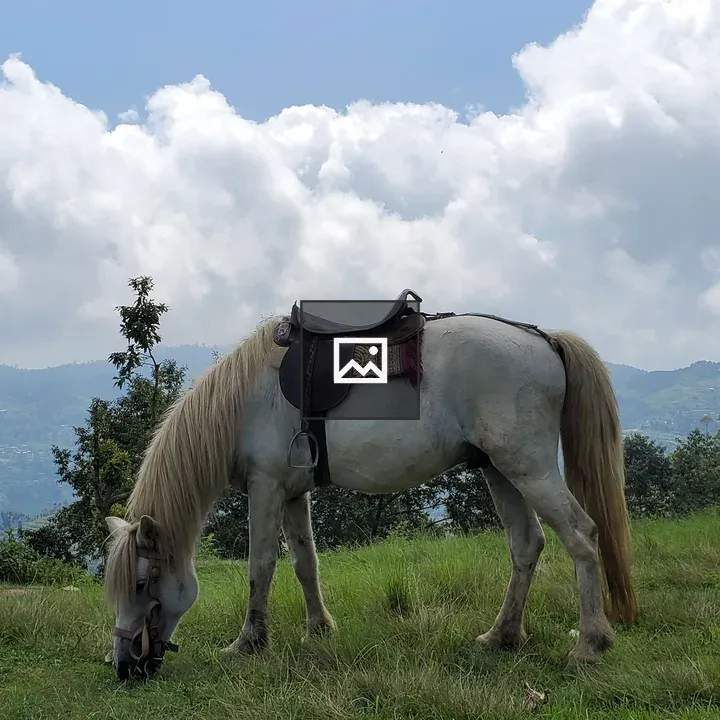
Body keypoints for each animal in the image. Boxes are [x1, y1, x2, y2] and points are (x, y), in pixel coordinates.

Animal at [103, 310, 638, 681]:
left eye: (141, 583)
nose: (124, 665)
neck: (246, 399)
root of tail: (542, 338)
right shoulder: (292, 493)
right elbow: (305, 563)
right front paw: (319, 628)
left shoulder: (266, 487)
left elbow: (261, 566)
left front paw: (249, 643)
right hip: (501, 470)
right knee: (527, 544)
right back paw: (501, 636)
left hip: (529, 467)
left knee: (582, 536)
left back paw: (590, 643)